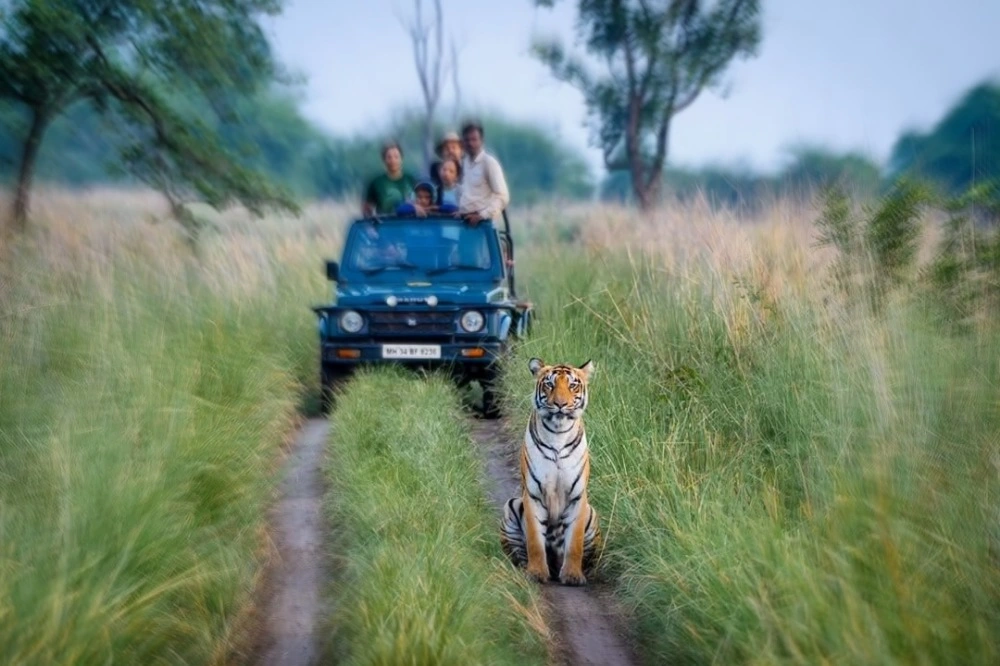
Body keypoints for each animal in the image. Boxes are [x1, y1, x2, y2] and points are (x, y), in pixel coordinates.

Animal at [504, 356, 596, 584]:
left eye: (572, 385)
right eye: (550, 384)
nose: (560, 404)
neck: (558, 434)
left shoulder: (577, 496)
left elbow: (575, 543)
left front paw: (573, 575)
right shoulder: (533, 495)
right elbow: (535, 540)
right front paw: (536, 573)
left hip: (592, 513)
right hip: (511, 505)